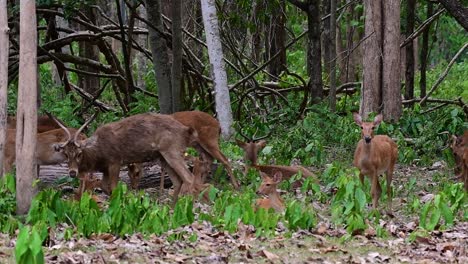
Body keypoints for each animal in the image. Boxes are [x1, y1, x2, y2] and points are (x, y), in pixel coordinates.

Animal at [52, 112, 202, 203]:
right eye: (65, 154)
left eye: (79, 153)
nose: (72, 173)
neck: (98, 155)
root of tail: (186, 131)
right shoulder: (105, 168)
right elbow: (104, 186)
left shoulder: (115, 161)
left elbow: (113, 187)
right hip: (162, 157)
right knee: (178, 181)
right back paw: (171, 208)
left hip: (172, 150)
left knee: (189, 177)